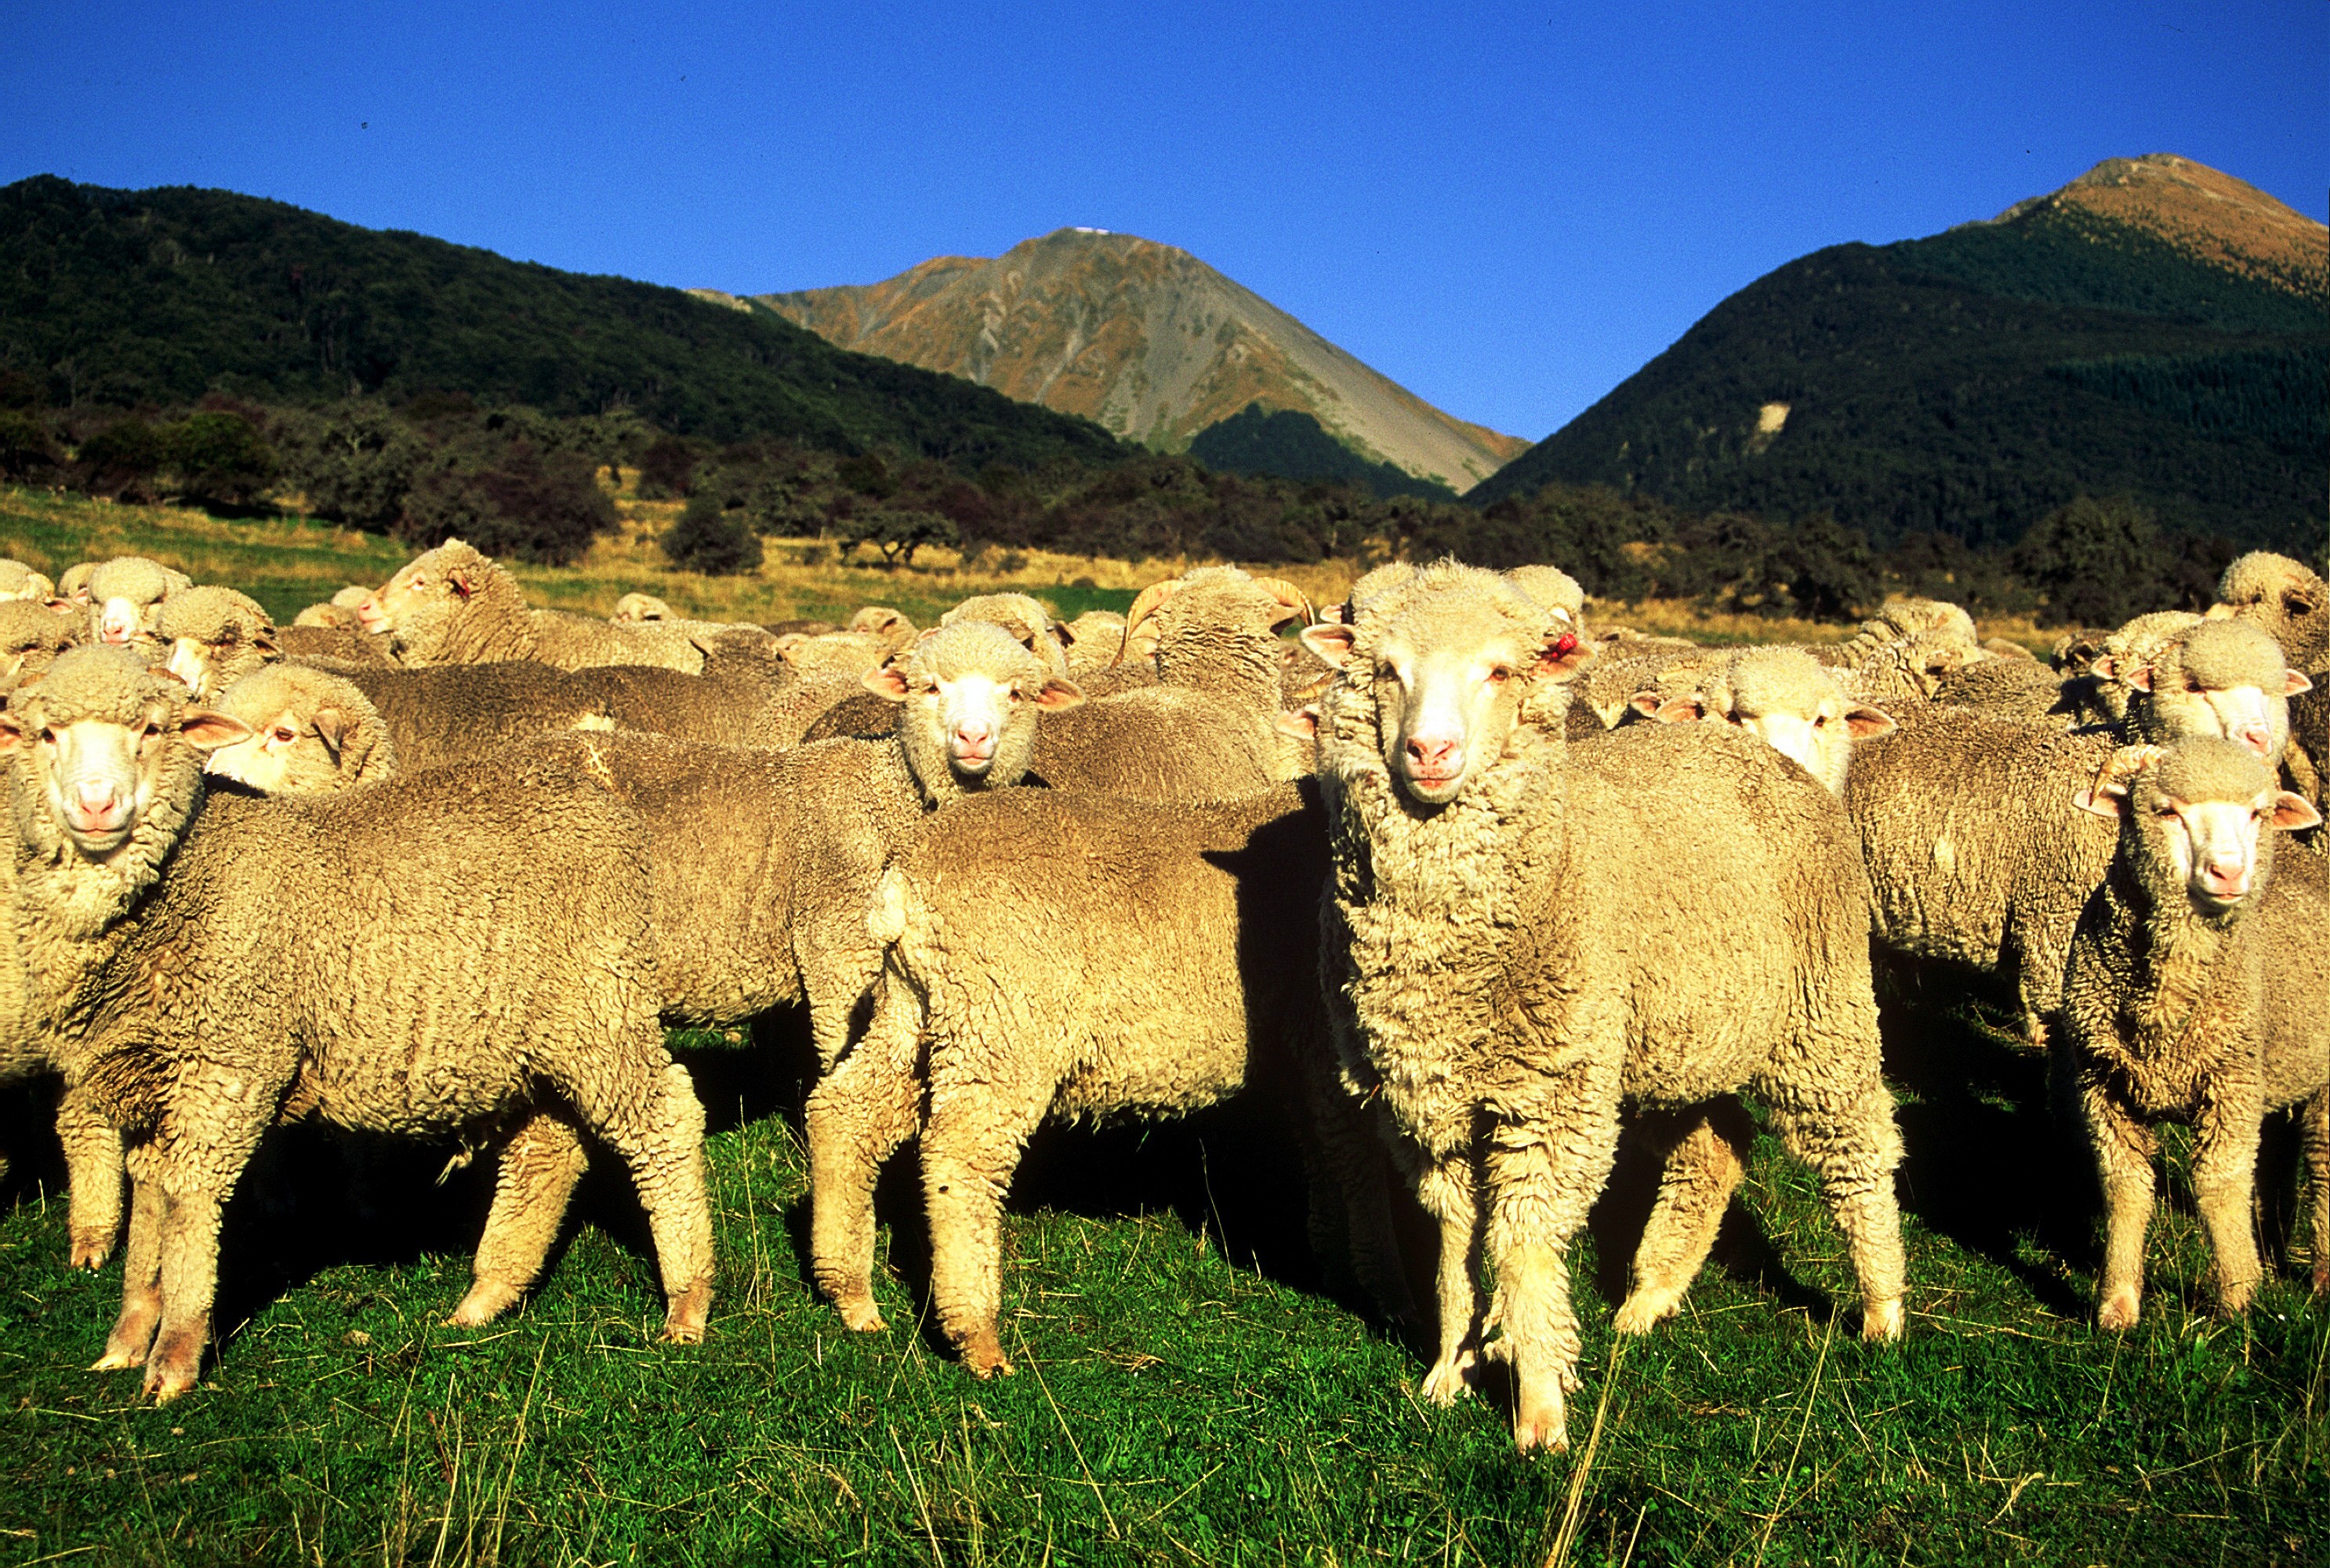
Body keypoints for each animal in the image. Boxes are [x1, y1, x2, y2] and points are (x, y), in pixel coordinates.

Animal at [0, 647, 713, 1400]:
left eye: (154, 730)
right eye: (45, 735)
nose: (96, 804)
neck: (185, 879)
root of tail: (600, 807)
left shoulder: (230, 1063)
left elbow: (189, 1201)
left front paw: (173, 1360)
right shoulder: (143, 1075)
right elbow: (150, 1202)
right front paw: (130, 1333)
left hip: (597, 1007)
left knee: (664, 1120)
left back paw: (688, 1300)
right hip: (533, 1035)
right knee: (547, 1148)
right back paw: (486, 1296)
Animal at [812, 779, 1414, 1371]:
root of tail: (904, 881)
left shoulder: (1303, 1050)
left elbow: (1324, 1152)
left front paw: (1337, 1264)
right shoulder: (1332, 1038)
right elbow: (1359, 1163)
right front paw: (1387, 1291)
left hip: (918, 1009)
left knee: (842, 1113)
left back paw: (849, 1292)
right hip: (1003, 1018)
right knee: (959, 1157)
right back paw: (976, 1335)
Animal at [1304, 562, 1905, 1452]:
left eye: (1500, 671)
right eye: (1385, 671)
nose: (1429, 751)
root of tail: (1754, 753)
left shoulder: (1551, 1094)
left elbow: (1520, 1243)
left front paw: (1539, 1407)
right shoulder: (1427, 1102)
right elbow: (1454, 1239)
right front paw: (1451, 1365)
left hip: (1819, 1008)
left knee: (1856, 1146)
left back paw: (1882, 1308)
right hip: (1675, 1033)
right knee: (1716, 1144)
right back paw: (1648, 1297)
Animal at [2058, 739, 2327, 1328]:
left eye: (2256, 814)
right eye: (2166, 812)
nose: (2229, 872)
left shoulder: (2230, 1085)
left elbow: (2219, 1184)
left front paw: (2239, 1297)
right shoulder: (2104, 1087)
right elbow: (2125, 1189)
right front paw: (2117, 1303)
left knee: (2322, 1165)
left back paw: (2320, 1275)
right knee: (2277, 1157)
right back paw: (2272, 1247)